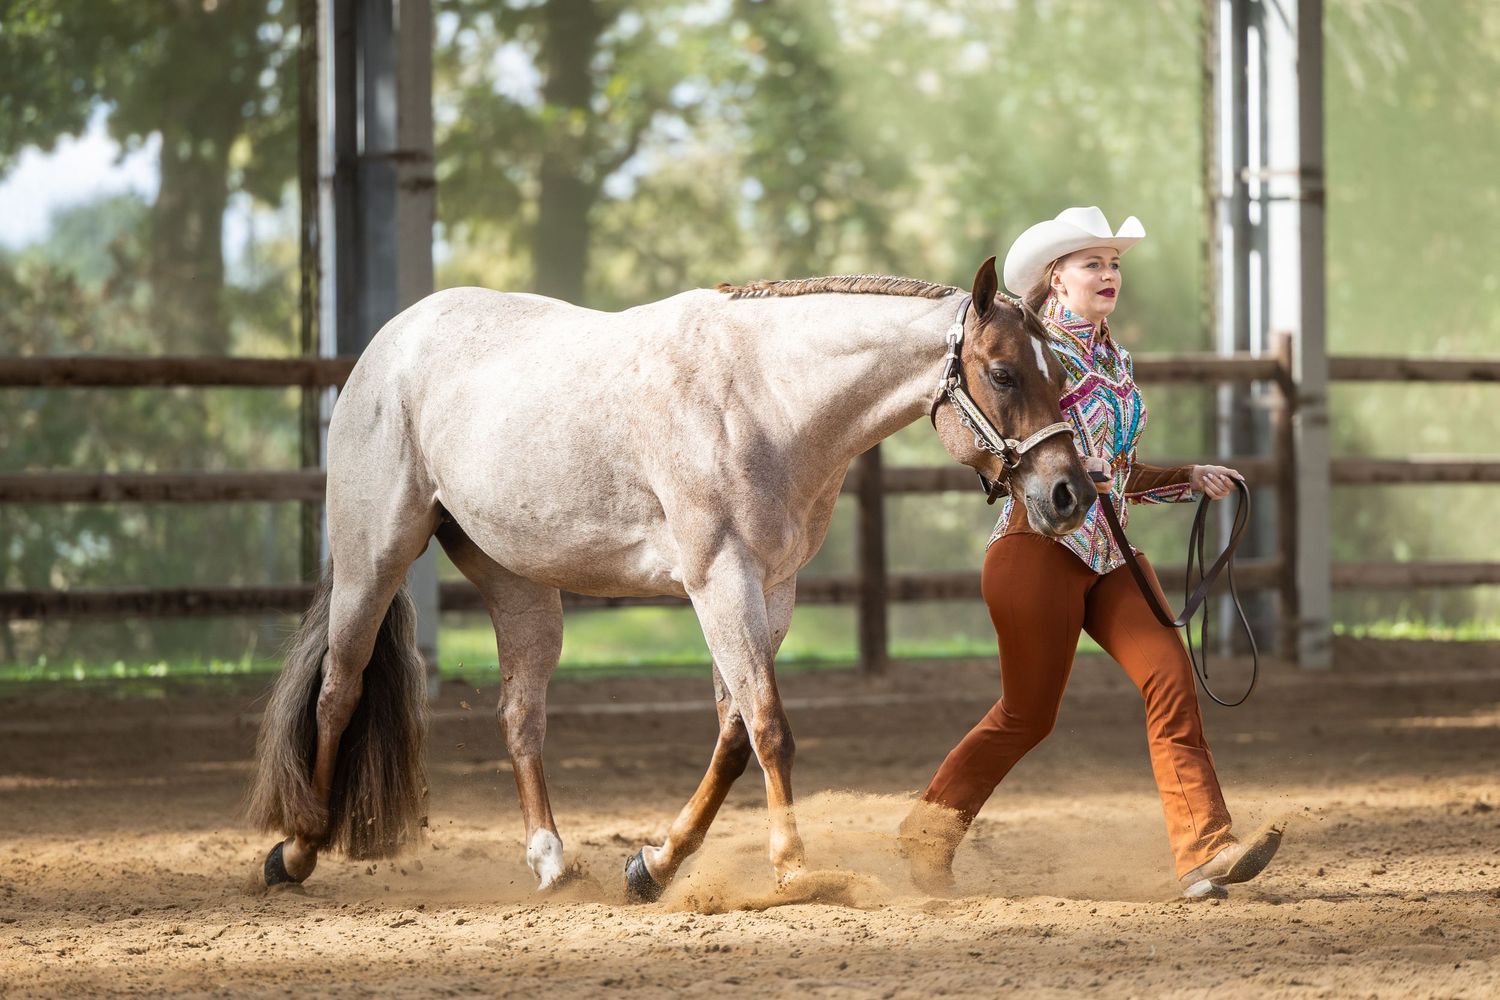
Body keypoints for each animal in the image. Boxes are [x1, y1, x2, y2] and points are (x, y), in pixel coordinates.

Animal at [245, 255, 1093, 901]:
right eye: (1003, 373)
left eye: (1059, 373)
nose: (1069, 495)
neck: (764, 397)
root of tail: (390, 343)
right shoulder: (720, 580)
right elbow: (769, 728)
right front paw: (795, 870)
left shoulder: (771, 590)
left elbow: (735, 733)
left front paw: (653, 865)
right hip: (374, 557)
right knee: (339, 691)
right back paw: (298, 848)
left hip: (519, 584)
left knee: (520, 716)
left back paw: (551, 862)